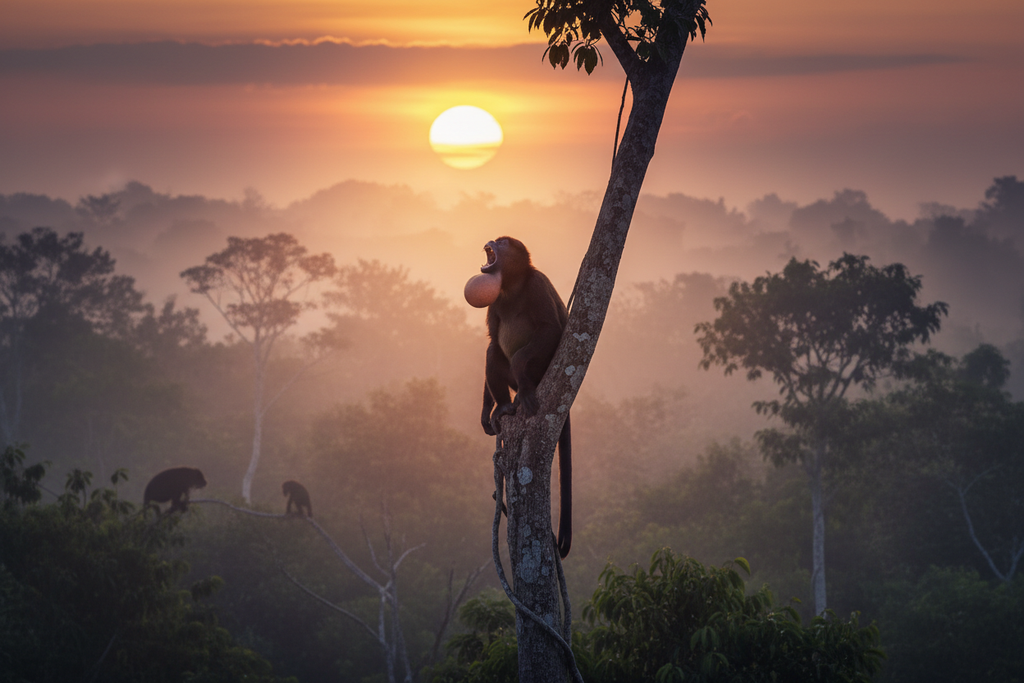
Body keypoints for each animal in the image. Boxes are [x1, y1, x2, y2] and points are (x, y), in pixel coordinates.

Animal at [465, 236, 573, 558]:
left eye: (503, 242)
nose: (490, 241)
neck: (511, 286)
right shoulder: (495, 299)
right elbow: (492, 339)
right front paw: (486, 410)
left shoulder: (536, 284)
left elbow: (549, 328)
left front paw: (519, 365)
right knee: (492, 352)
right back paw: (502, 407)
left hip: (541, 370)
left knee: (521, 362)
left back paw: (524, 390)